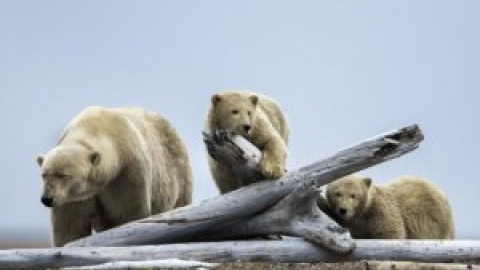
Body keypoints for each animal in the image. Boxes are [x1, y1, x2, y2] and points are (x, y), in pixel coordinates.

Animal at [37, 106, 193, 246]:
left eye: (63, 175)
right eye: (44, 175)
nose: (47, 199)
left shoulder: (127, 173)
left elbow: (128, 215)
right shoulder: (75, 197)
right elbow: (70, 226)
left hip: (180, 174)